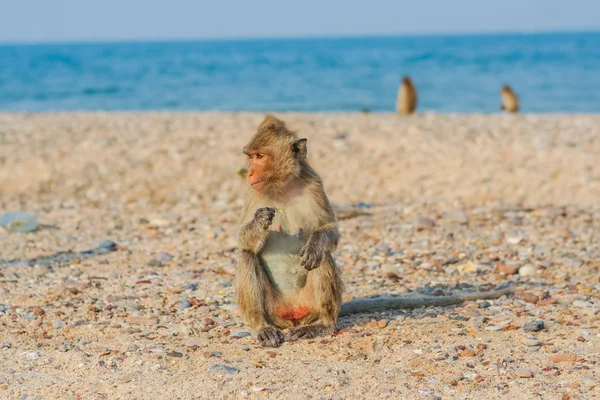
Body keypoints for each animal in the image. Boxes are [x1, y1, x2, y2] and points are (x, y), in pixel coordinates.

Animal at [234, 115, 516, 346]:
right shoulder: (252, 193)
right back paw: (262, 327)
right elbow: (243, 241)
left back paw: (323, 324)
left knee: (322, 259)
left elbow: (329, 232)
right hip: (274, 309)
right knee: (247, 258)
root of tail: (293, 315)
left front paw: (315, 244)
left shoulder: (314, 184)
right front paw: (261, 220)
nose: (249, 173)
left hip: (310, 304)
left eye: (259, 157)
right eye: (250, 156)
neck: (282, 186)